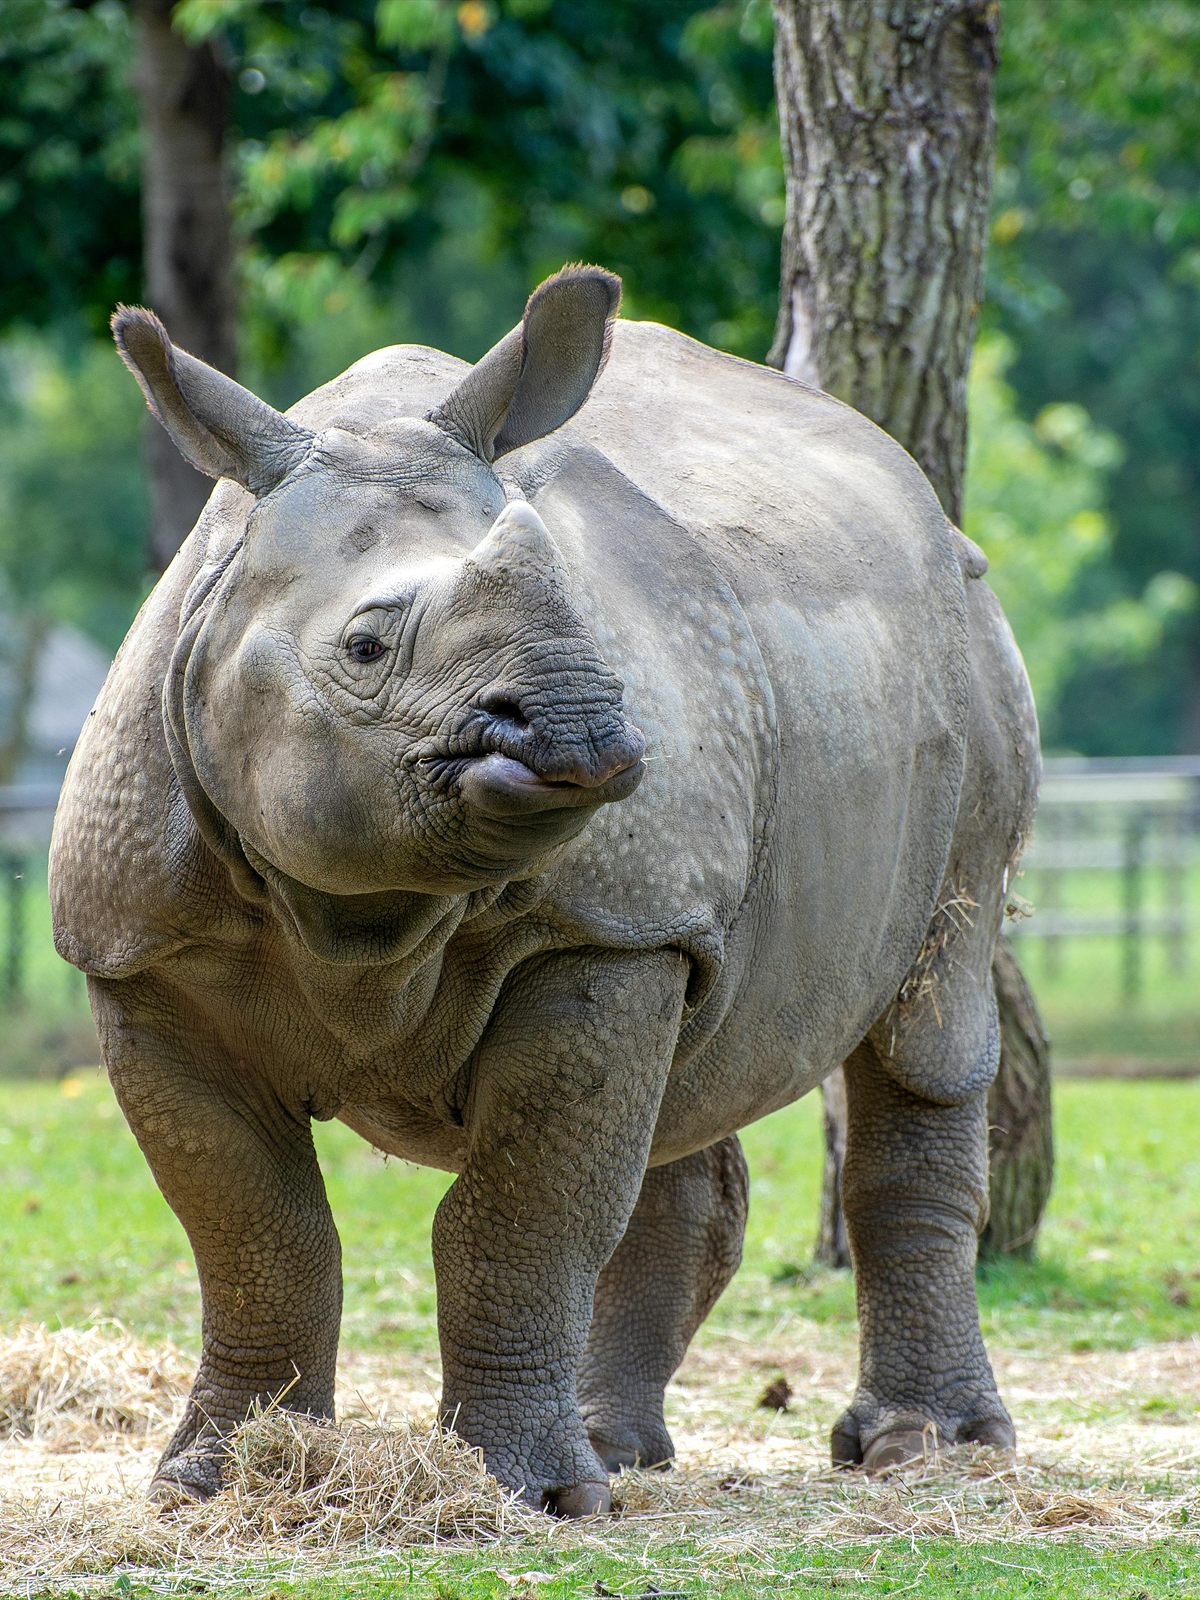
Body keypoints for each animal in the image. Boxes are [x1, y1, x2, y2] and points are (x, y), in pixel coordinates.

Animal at [50, 265, 1038, 1516]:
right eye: (366, 647)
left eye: (584, 613)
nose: (582, 723)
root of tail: (920, 499)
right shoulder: (142, 953)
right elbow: (253, 1229)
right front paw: (218, 1478)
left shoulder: (605, 927)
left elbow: (518, 1214)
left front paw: (529, 1496)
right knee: (692, 1075)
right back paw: (622, 1451)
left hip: (969, 658)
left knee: (927, 1024)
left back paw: (925, 1449)